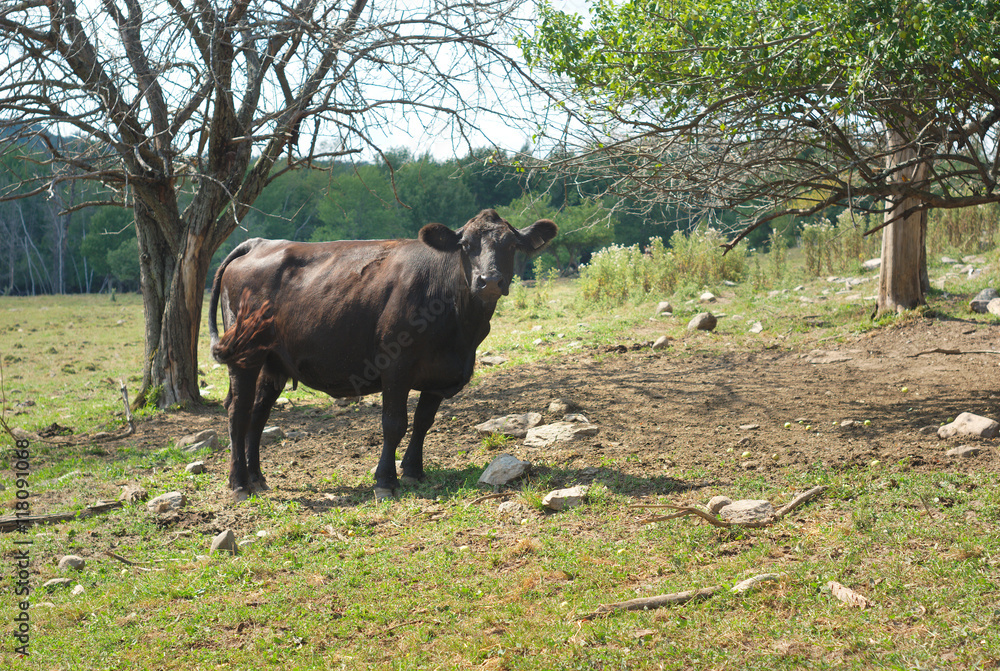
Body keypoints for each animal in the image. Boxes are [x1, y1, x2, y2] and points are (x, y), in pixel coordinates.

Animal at [209, 209, 557, 502]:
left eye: (511, 245)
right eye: (466, 245)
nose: (490, 281)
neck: (461, 330)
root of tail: (258, 243)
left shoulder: (438, 373)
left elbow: (423, 421)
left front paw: (414, 471)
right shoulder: (395, 365)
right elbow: (394, 423)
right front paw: (385, 481)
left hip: (273, 362)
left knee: (258, 413)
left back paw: (257, 478)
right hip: (244, 355)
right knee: (238, 412)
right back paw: (239, 483)